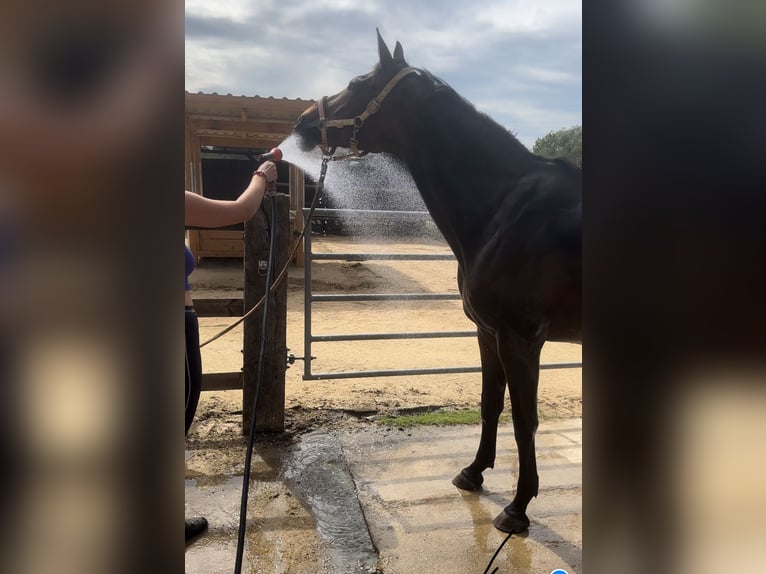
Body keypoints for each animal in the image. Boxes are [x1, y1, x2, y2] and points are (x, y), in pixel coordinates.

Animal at [294, 31, 584, 536]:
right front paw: (473, 473)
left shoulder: (521, 339)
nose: (305, 121)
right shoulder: (489, 335)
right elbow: (490, 404)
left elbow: (524, 419)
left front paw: (518, 508)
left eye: (357, 82)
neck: (505, 208)